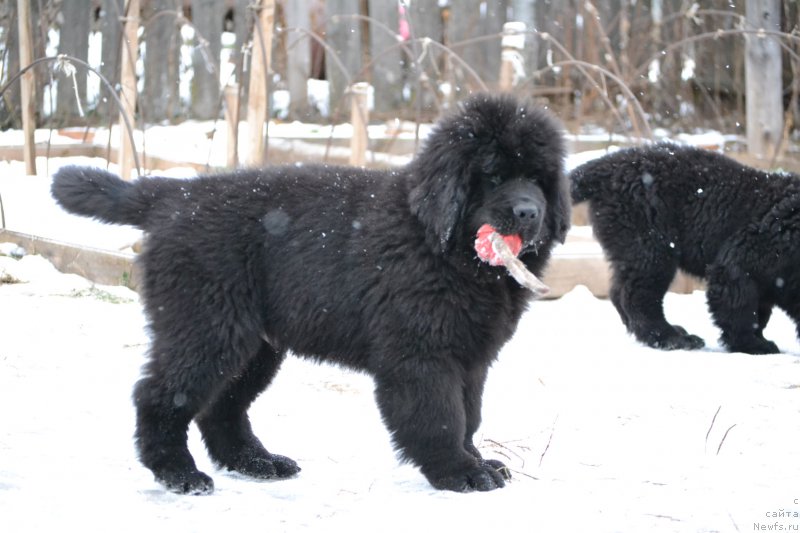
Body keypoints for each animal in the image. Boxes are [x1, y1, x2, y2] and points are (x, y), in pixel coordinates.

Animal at [51, 94, 568, 494]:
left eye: (538, 178)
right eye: (493, 176)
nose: (528, 213)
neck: (441, 248)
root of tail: (175, 195)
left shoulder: (471, 357)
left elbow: (469, 414)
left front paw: (477, 460)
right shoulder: (421, 355)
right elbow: (440, 415)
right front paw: (460, 473)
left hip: (254, 344)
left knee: (222, 406)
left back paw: (257, 462)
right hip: (207, 325)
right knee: (161, 394)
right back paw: (179, 473)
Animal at [568, 143, 800, 356]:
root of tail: (609, 164)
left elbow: (761, 310)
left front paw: (759, 339)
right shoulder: (742, 260)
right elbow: (740, 306)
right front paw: (753, 345)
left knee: (619, 291)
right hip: (650, 242)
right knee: (637, 294)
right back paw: (673, 338)